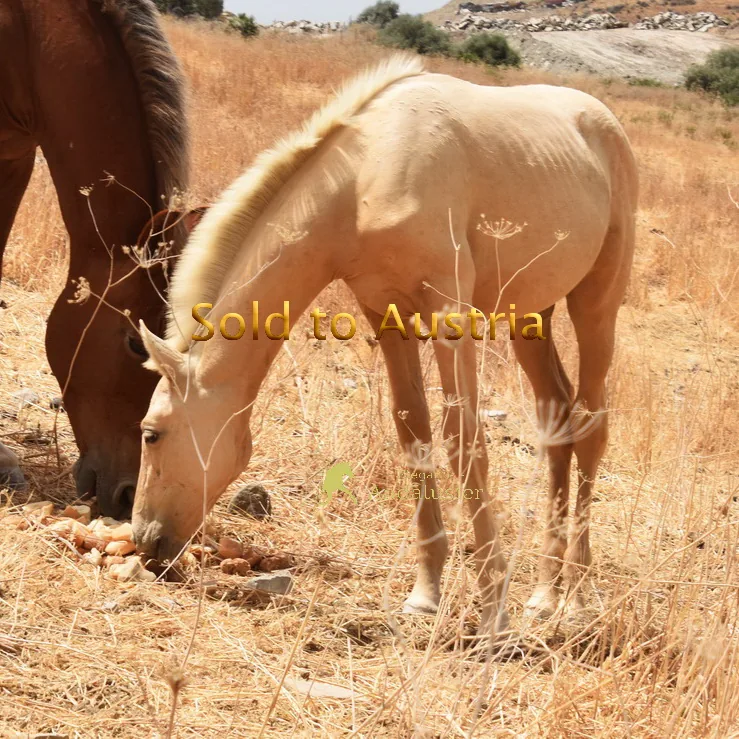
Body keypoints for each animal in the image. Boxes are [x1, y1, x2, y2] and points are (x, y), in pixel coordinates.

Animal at [131, 56, 638, 636]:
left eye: (150, 434)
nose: (145, 541)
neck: (366, 175)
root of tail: (604, 121)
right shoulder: (385, 313)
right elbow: (412, 430)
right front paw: (425, 595)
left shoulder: (448, 311)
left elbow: (463, 439)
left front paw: (493, 610)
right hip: (532, 314)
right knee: (556, 419)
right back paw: (544, 596)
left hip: (596, 303)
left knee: (591, 424)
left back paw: (575, 597)